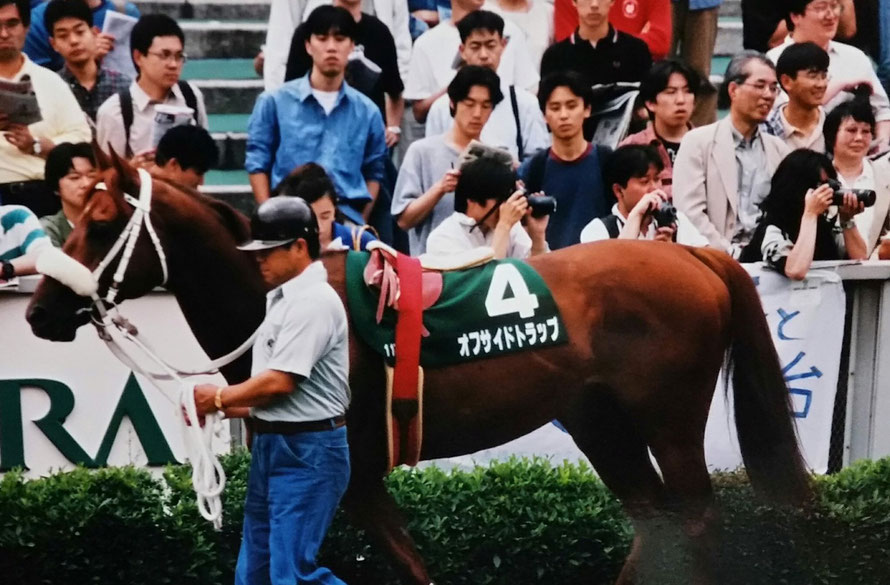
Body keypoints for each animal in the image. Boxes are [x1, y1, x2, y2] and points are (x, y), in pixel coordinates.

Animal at [27, 153, 808, 580]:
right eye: (77, 212)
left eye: (102, 223)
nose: (38, 311)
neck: (278, 295)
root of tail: (694, 256)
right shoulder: (356, 477)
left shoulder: (356, 473)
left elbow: (406, 563)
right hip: (599, 420)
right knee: (657, 522)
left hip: (669, 419)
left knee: (696, 519)